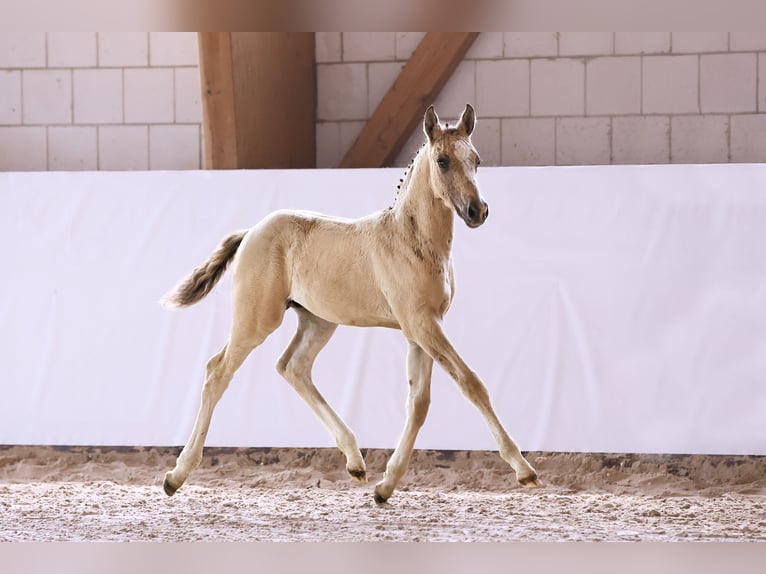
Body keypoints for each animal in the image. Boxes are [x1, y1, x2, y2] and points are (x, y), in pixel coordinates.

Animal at [164, 106, 544, 502]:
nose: (476, 211)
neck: (411, 239)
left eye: (476, 159)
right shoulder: (422, 325)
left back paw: (355, 461)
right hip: (257, 319)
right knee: (217, 370)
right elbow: (471, 383)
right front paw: (525, 470)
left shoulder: (421, 329)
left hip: (318, 321)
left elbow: (419, 403)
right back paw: (176, 475)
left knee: (293, 367)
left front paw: (386, 485)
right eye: (442, 161)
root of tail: (251, 232)